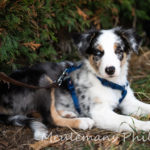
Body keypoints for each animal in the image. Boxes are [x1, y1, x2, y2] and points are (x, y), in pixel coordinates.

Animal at [0, 27, 150, 141]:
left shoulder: (129, 102)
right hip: (43, 79)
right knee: (49, 118)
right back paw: (82, 121)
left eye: (119, 51)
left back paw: (67, 113)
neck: (109, 83)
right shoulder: (99, 112)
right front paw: (146, 125)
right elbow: (128, 120)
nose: (110, 70)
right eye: (98, 52)